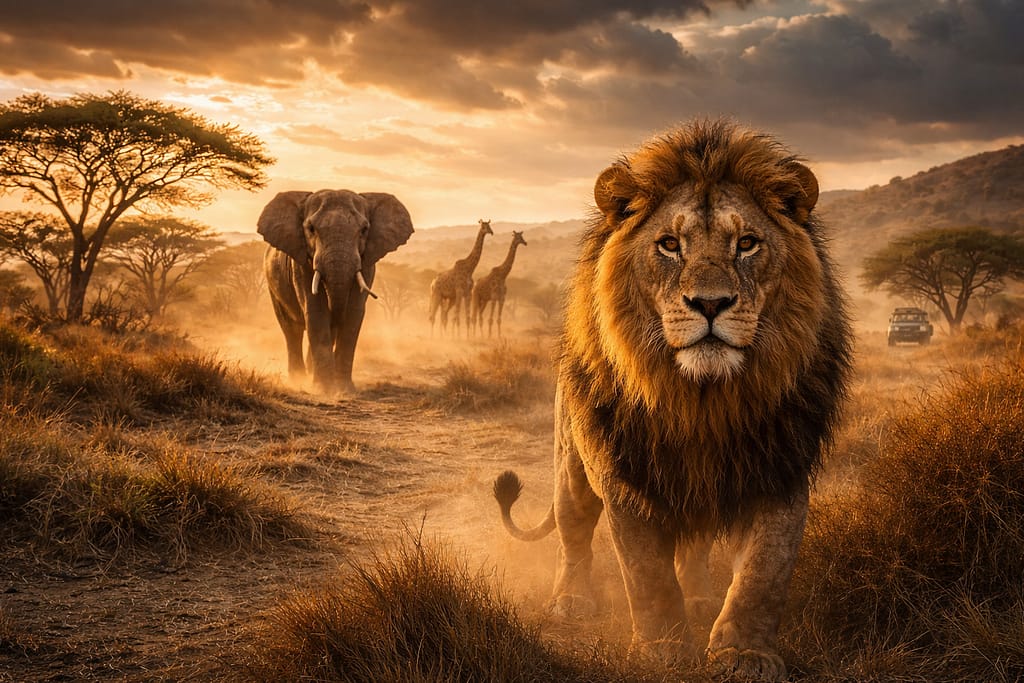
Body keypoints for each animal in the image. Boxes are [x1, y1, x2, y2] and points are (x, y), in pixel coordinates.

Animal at [493, 119, 852, 681]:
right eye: (668, 245)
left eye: (747, 243)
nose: (710, 303)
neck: (702, 401)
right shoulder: (624, 475)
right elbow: (647, 574)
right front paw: (662, 649)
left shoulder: (783, 467)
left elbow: (763, 574)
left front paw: (743, 653)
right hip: (571, 465)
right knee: (573, 533)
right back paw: (572, 600)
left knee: (697, 548)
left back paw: (702, 599)